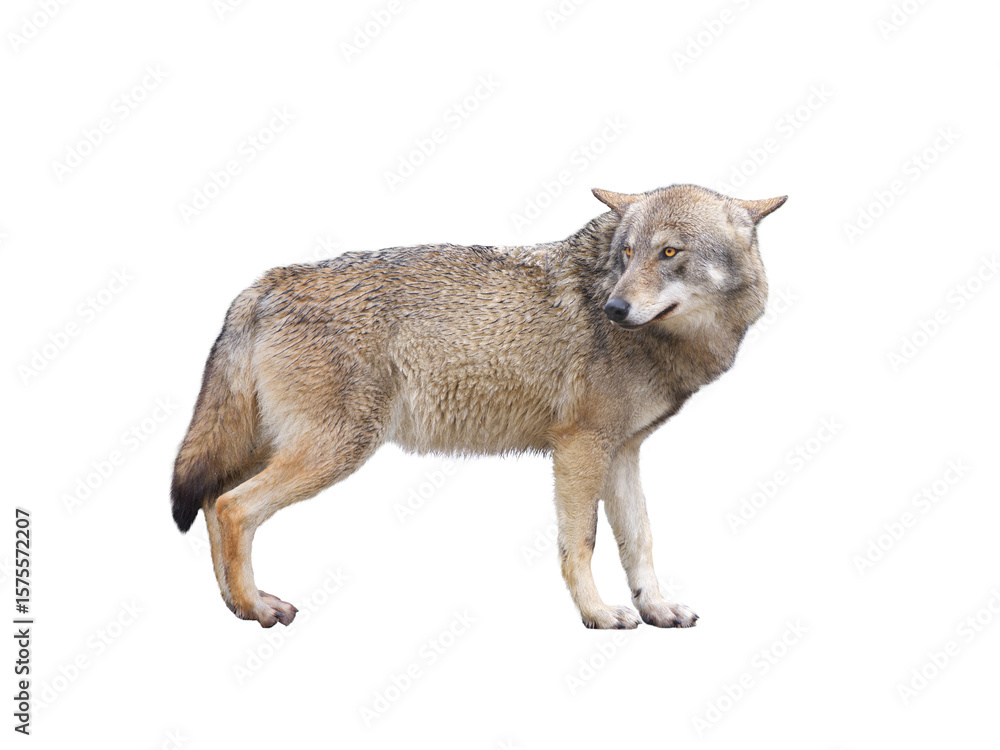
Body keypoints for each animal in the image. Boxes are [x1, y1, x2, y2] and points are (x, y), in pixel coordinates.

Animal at [171, 184, 786, 629]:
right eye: (628, 254)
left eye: (670, 252)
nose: (613, 308)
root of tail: (261, 286)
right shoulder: (580, 449)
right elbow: (581, 543)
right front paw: (598, 614)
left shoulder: (622, 452)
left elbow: (640, 540)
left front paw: (655, 608)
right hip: (333, 451)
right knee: (233, 509)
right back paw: (255, 609)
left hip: (278, 449)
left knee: (212, 500)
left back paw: (236, 604)